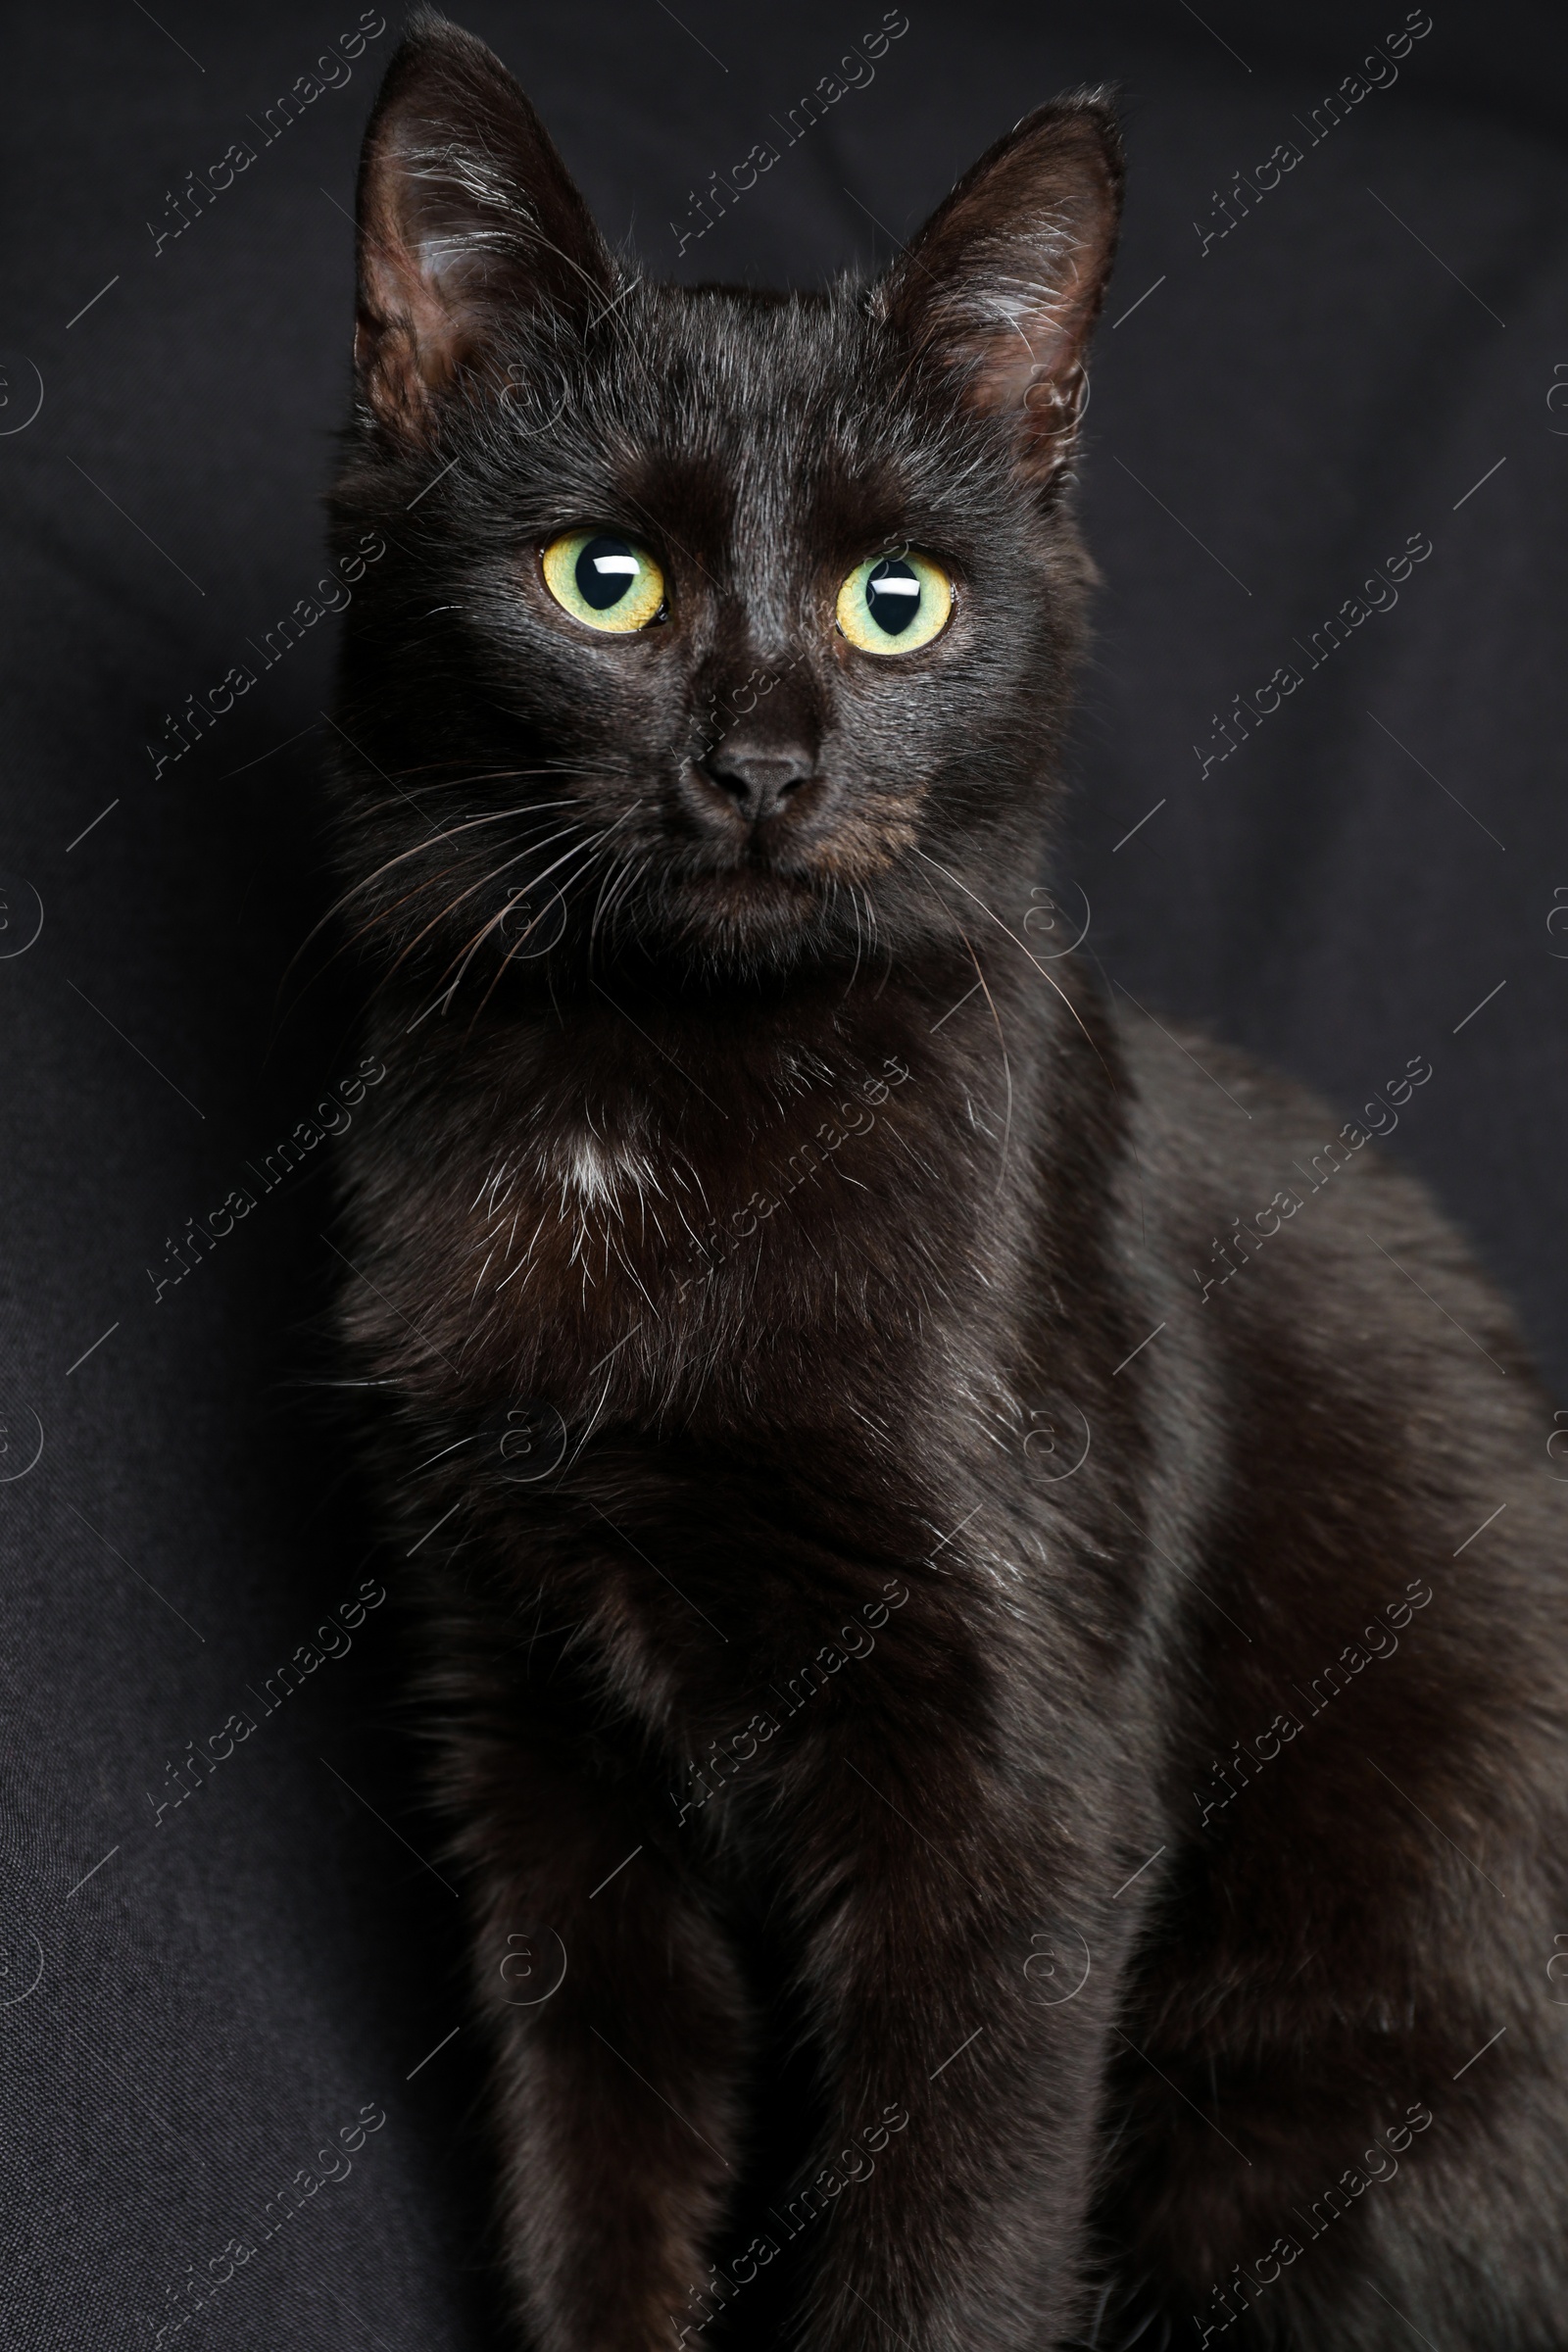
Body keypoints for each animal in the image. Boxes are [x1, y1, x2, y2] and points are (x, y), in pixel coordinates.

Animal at [324, 9, 1568, 2342]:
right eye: (602, 581)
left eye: (894, 604)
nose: (759, 762)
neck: (667, 1098)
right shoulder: (528, 1720)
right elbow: (595, 2150)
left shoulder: (1019, 1777)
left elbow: (953, 2235)